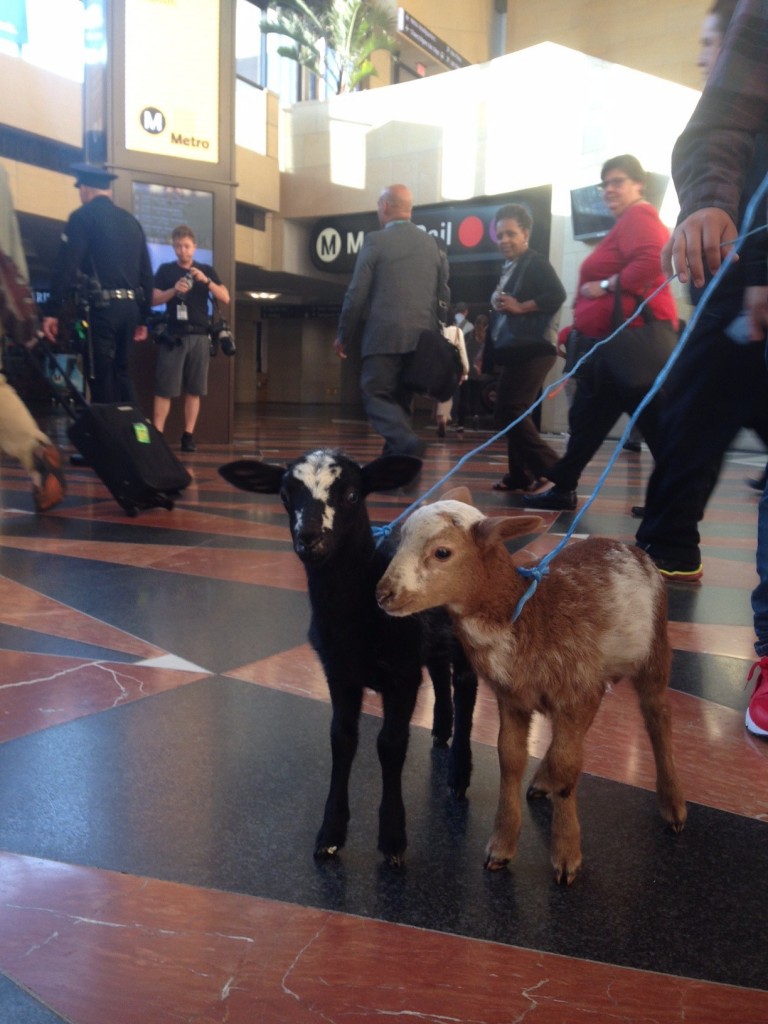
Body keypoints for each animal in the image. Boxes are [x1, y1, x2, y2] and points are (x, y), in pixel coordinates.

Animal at [219, 448, 479, 864]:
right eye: (284, 496)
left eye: (353, 494)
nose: (309, 539)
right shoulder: (339, 672)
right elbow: (341, 740)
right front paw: (330, 834)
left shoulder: (402, 676)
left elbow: (390, 745)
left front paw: (392, 840)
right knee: (440, 672)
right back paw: (441, 730)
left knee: (465, 685)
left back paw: (458, 775)